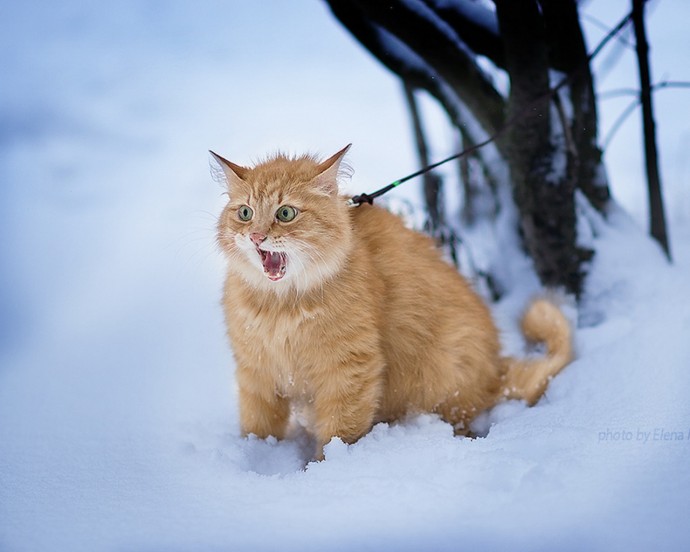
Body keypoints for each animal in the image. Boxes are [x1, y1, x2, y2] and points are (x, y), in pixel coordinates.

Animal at [212, 144, 572, 460]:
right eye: (245, 213)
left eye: (285, 213)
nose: (255, 236)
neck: (281, 306)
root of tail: (494, 373)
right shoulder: (257, 371)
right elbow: (258, 428)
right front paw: (255, 457)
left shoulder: (350, 369)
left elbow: (339, 434)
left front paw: (320, 471)